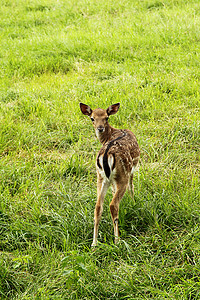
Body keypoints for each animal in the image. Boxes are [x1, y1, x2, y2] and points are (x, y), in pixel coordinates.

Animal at [79, 102, 139, 247]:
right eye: (92, 118)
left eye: (106, 117)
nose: (100, 128)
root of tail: (106, 154)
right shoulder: (132, 169)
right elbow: (132, 187)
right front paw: (134, 202)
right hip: (122, 175)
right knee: (113, 204)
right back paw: (117, 240)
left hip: (100, 177)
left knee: (98, 206)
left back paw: (94, 244)